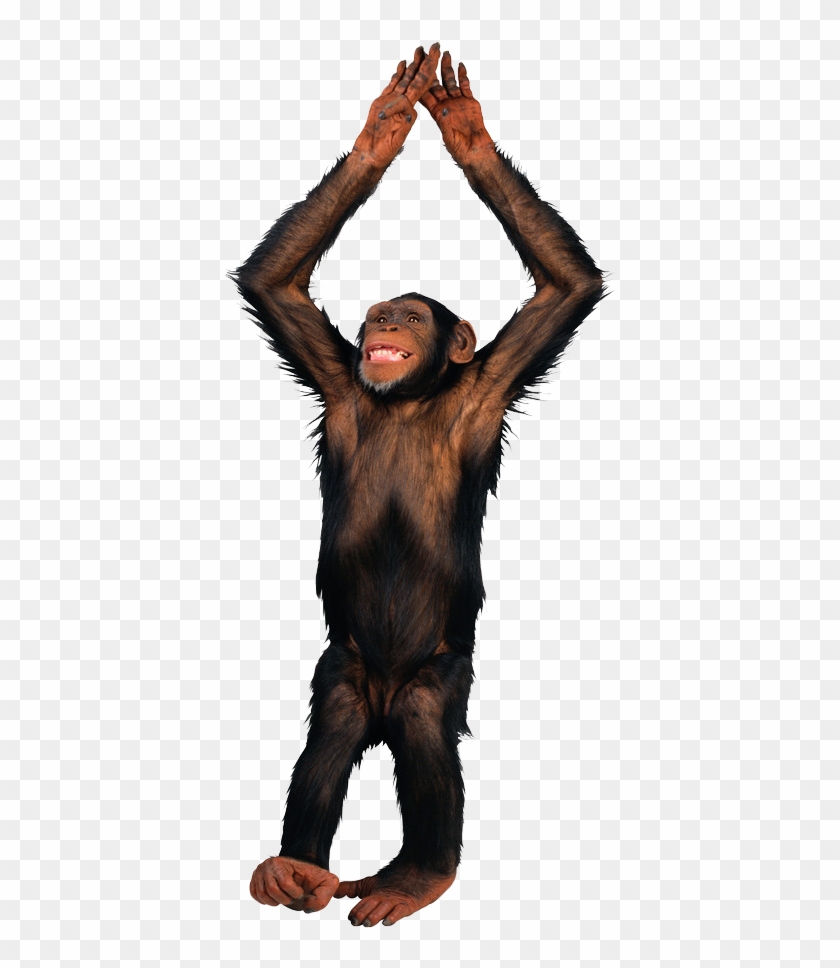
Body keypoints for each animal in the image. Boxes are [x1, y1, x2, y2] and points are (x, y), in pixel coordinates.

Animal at [233, 44, 604, 927]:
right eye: (375, 315)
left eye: (406, 313)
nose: (382, 324)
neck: (411, 397)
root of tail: (381, 702)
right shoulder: (336, 375)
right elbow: (276, 286)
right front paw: (384, 129)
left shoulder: (492, 384)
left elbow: (565, 288)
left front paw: (467, 133)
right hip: (344, 667)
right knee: (330, 731)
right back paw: (294, 869)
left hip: (437, 673)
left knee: (428, 727)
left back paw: (419, 873)